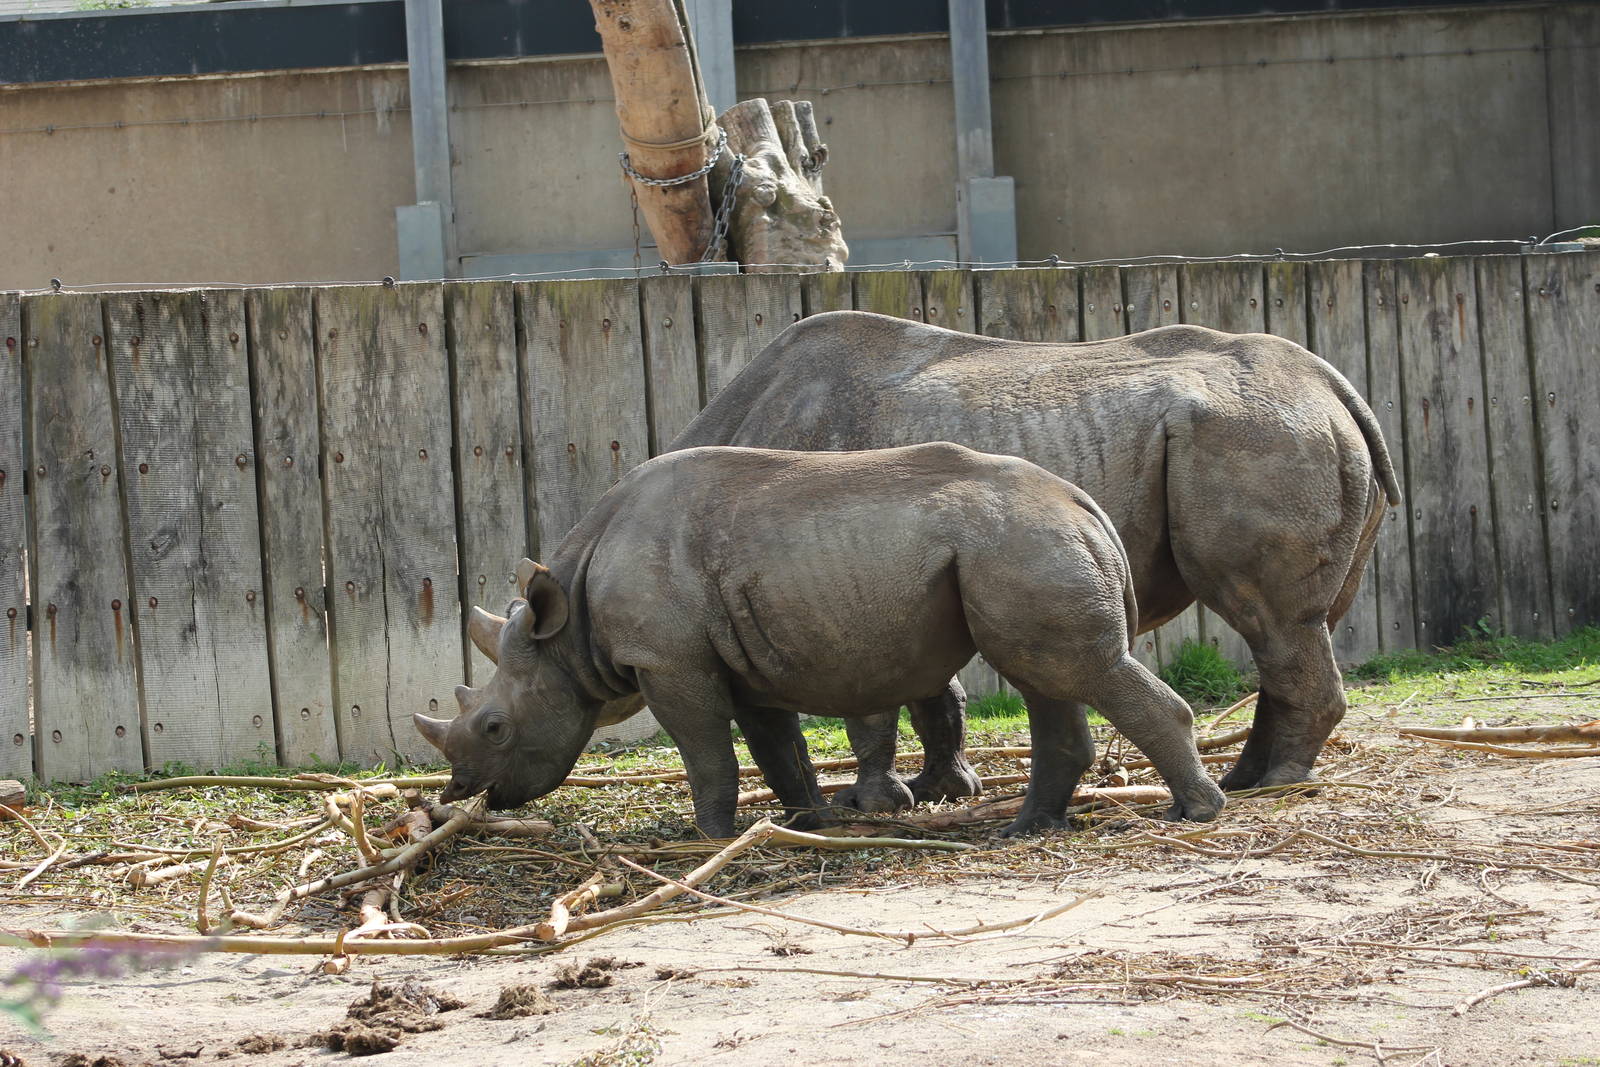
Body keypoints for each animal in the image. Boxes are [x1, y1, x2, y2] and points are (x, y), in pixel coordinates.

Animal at [416, 443, 1226, 838]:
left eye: (495, 726)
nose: (461, 792)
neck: (568, 629)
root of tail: (1084, 503)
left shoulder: (669, 660)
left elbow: (704, 747)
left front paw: (699, 837)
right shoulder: (733, 657)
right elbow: (776, 747)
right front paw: (807, 821)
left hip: (1022, 540)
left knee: (1074, 669)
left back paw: (1195, 813)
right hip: (1021, 542)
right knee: (1045, 676)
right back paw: (1028, 830)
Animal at [660, 311, 1401, 809]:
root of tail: (1333, 385)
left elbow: (873, 698)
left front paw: (871, 803)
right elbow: (930, 690)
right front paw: (944, 788)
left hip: (1261, 434)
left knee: (1271, 620)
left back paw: (1273, 783)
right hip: (1290, 433)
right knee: (1299, 627)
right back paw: (1245, 778)